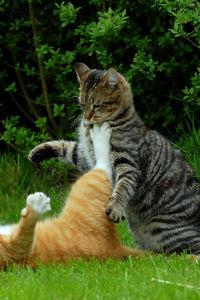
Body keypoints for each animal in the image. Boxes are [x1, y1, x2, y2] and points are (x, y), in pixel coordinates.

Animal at [0, 123, 146, 268]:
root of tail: (115, 248)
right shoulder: (14, 253)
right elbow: (25, 232)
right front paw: (37, 204)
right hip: (89, 183)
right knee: (103, 164)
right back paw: (100, 134)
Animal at [28, 62, 200, 254]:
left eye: (96, 105)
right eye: (82, 104)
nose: (86, 118)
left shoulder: (127, 163)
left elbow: (122, 187)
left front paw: (115, 207)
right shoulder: (87, 157)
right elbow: (67, 147)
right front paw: (39, 152)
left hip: (166, 230)